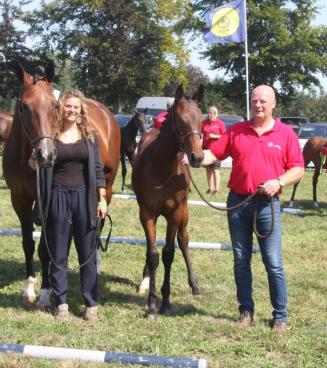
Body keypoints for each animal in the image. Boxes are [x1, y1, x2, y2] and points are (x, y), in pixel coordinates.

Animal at [2, 61, 120, 308]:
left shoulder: (46, 200)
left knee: (99, 224)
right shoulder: (19, 198)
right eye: (24, 106)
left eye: (55, 106)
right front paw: (29, 290)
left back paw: (95, 265)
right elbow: (28, 243)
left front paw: (45, 293)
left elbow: (44, 248)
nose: (46, 155)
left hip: (107, 187)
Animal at [132, 85, 204, 318]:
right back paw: (145, 280)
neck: (162, 169)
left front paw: (165, 301)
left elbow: (169, 253)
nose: (197, 157)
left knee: (184, 240)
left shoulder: (175, 213)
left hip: (185, 214)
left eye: (202, 118)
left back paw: (195, 285)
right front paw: (152, 303)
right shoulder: (147, 213)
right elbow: (153, 254)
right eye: (180, 119)